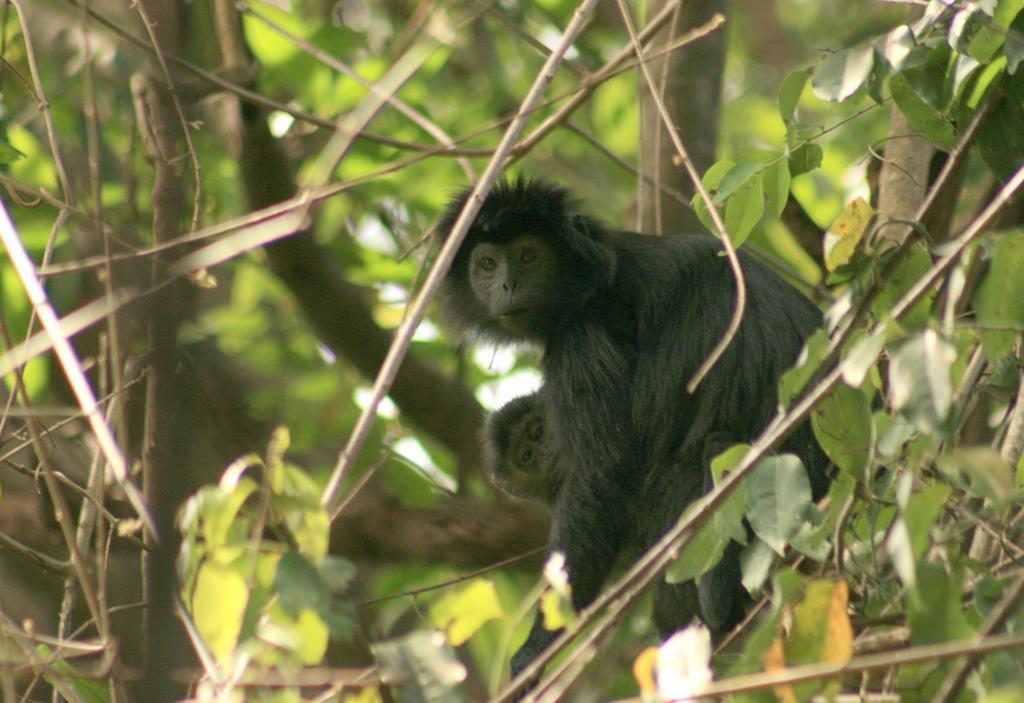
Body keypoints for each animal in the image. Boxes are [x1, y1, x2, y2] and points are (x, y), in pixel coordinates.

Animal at [436, 179, 827, 683]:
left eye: (528, 255)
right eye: (486, 264)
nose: (507, 284)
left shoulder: (583, 337)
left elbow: (602, 480)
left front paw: (535, 649)